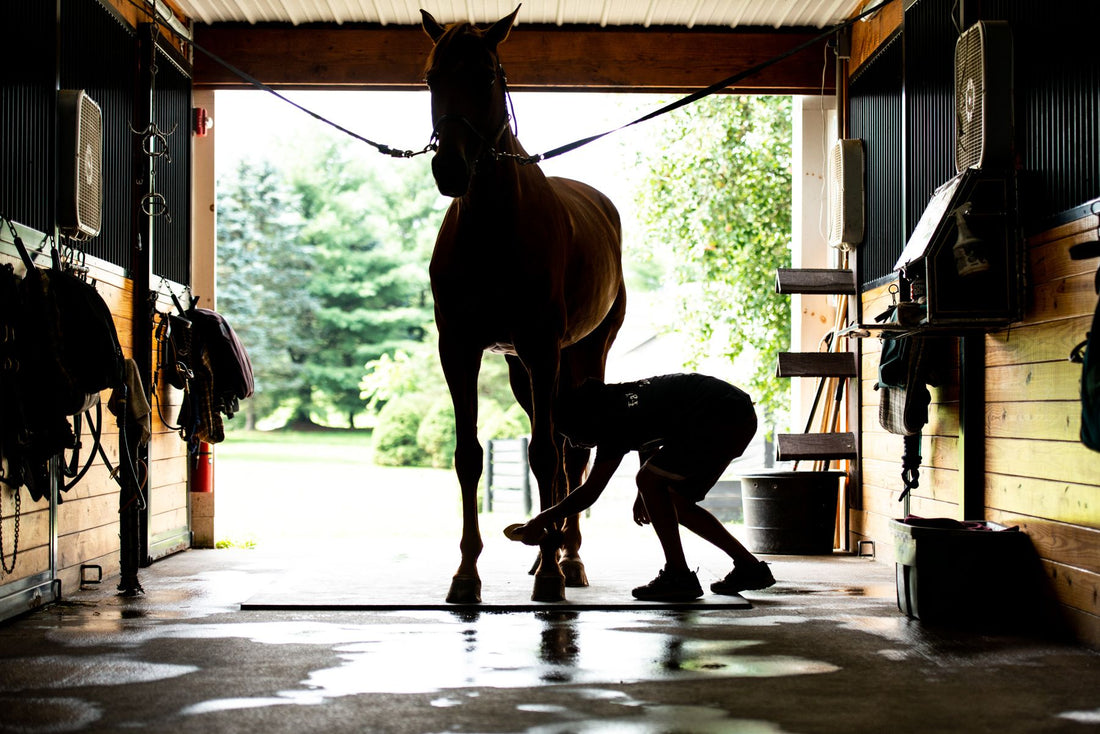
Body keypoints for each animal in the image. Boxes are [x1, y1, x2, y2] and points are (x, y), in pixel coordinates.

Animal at [420, 7, 629, 603]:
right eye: (432, 78)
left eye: (487, 75)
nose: (451, 169)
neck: (493, 228)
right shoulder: (461, 349)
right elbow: (469, 456)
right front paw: (466, 574)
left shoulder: (541, 347)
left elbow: (543, 456)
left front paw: (555, 575)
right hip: (523, 371)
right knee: (558, 450)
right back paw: (545, 552)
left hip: (580, 358)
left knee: (570, 454)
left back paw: (567, 559)